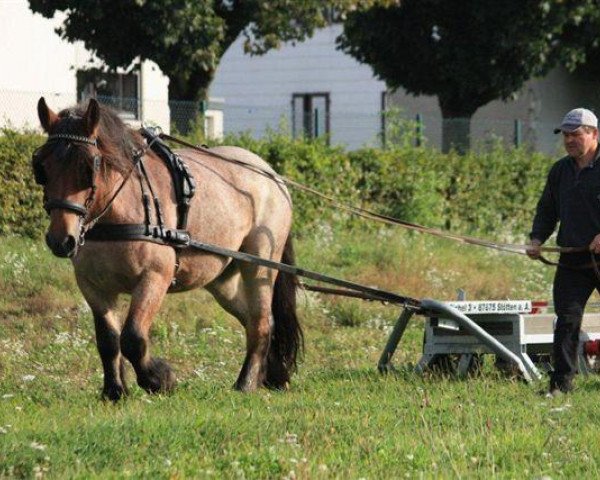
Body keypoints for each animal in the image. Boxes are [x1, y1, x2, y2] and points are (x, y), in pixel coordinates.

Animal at [32, 97, 302, 402]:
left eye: (89, 167)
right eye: (41, 168)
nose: (60, 239)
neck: (119, 212)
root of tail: (272, 175)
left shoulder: (154, 278)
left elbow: (133, 337)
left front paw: (160, 378)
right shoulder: (93, 287)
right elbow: (108, 340)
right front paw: (114, 391)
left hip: (258, 265)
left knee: (261, 322)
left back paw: (244, 383)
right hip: (223, 279)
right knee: (254, 319)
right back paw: (270, 374)